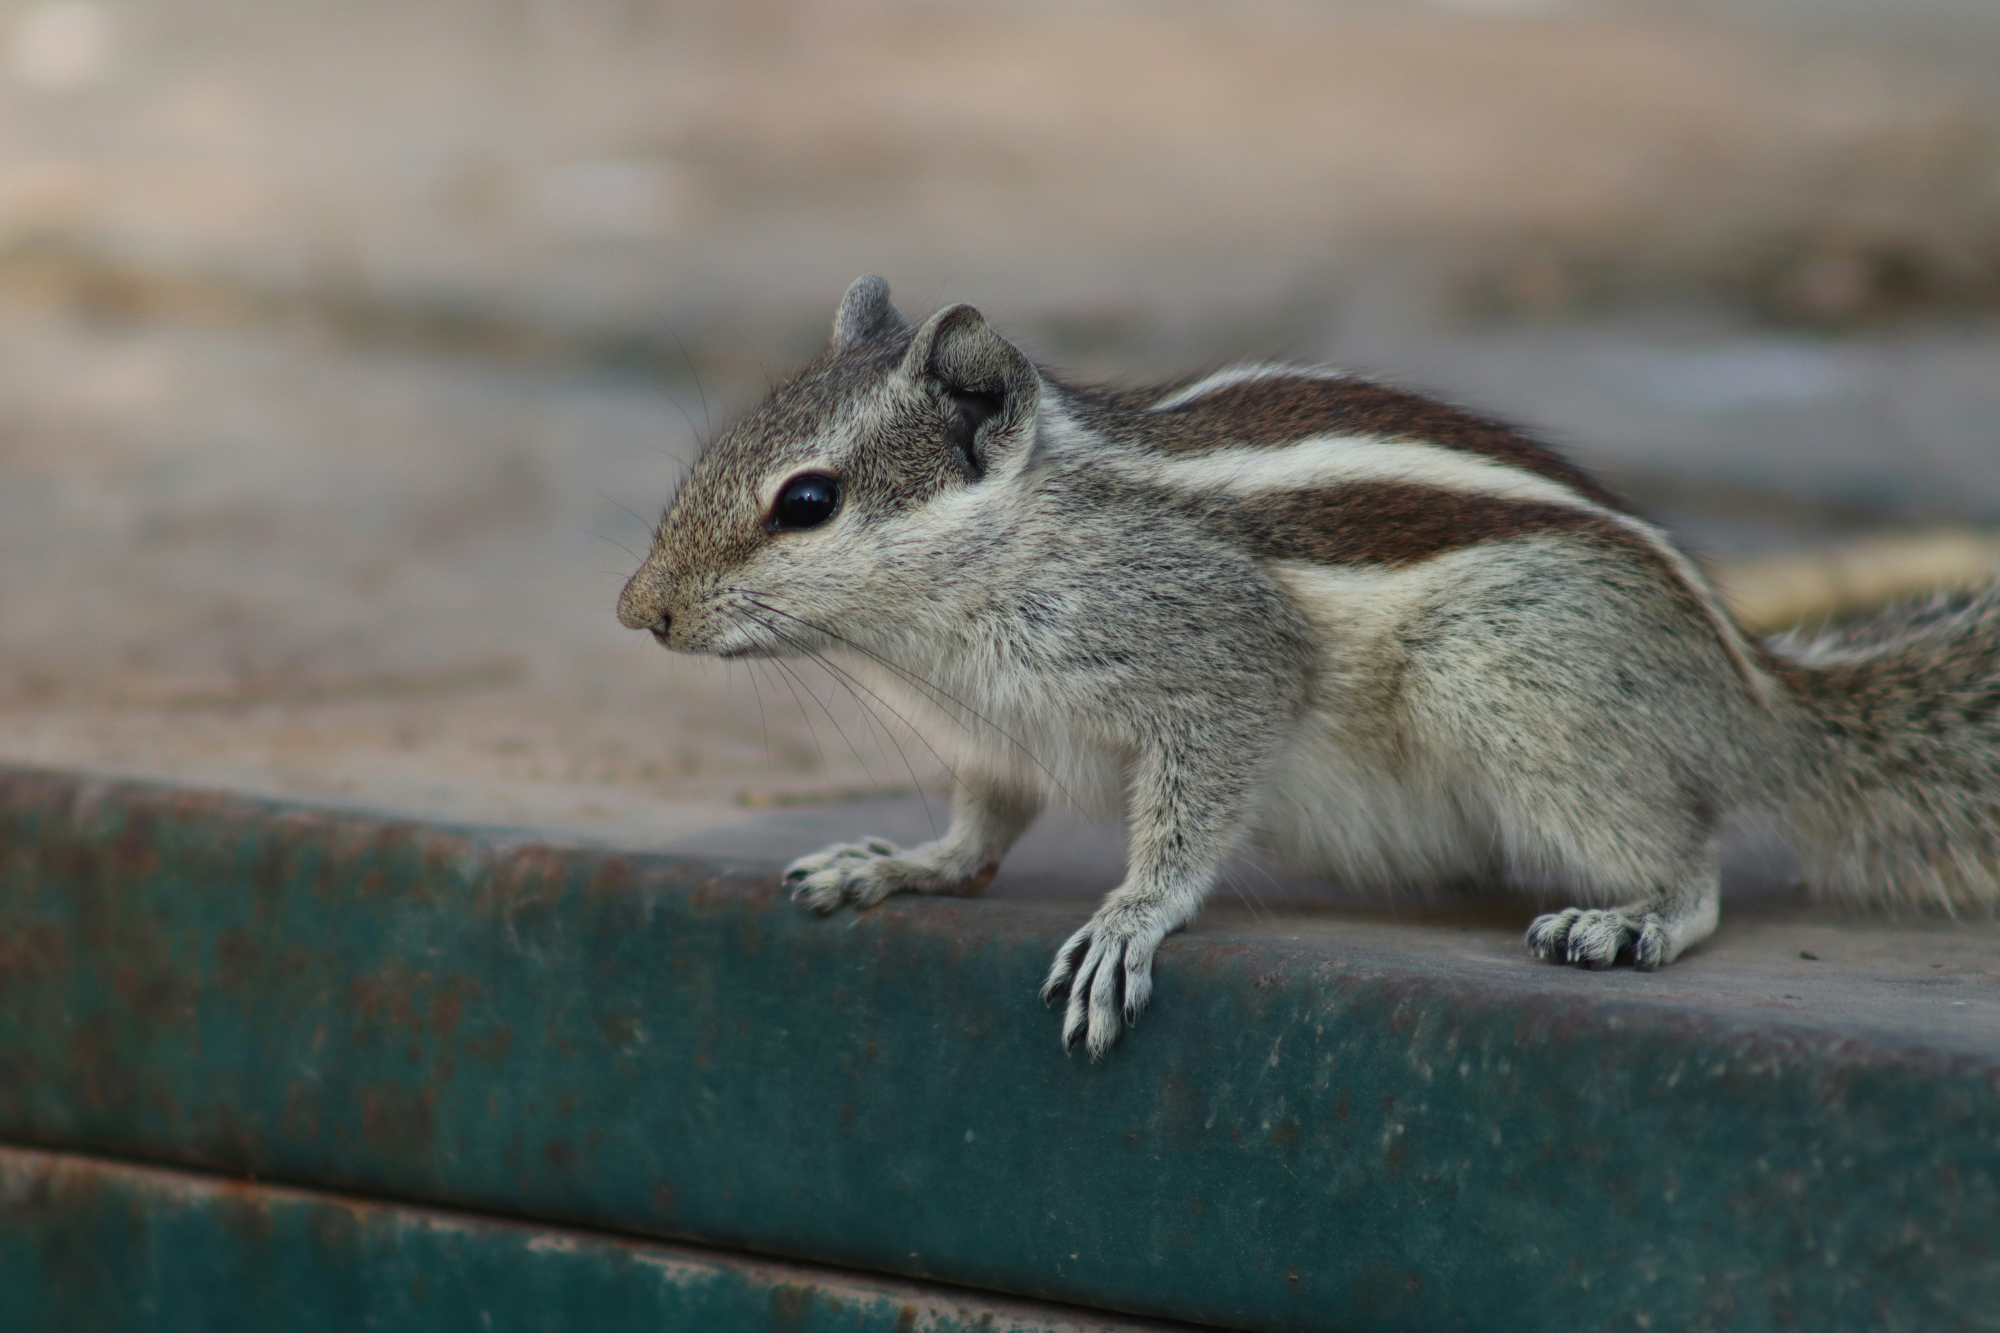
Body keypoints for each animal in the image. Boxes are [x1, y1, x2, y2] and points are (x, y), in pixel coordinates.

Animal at [616, 278, 2000, 1056]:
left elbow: (1190, 809)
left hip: (1517, 695)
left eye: (805, 502)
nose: (639, 612)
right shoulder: (996, 734)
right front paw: (901, 862)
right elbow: (980, 825)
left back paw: (1631, 915)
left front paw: (1129, 918)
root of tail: (1750, 691)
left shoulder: (1216, 662)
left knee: (1693, 862)